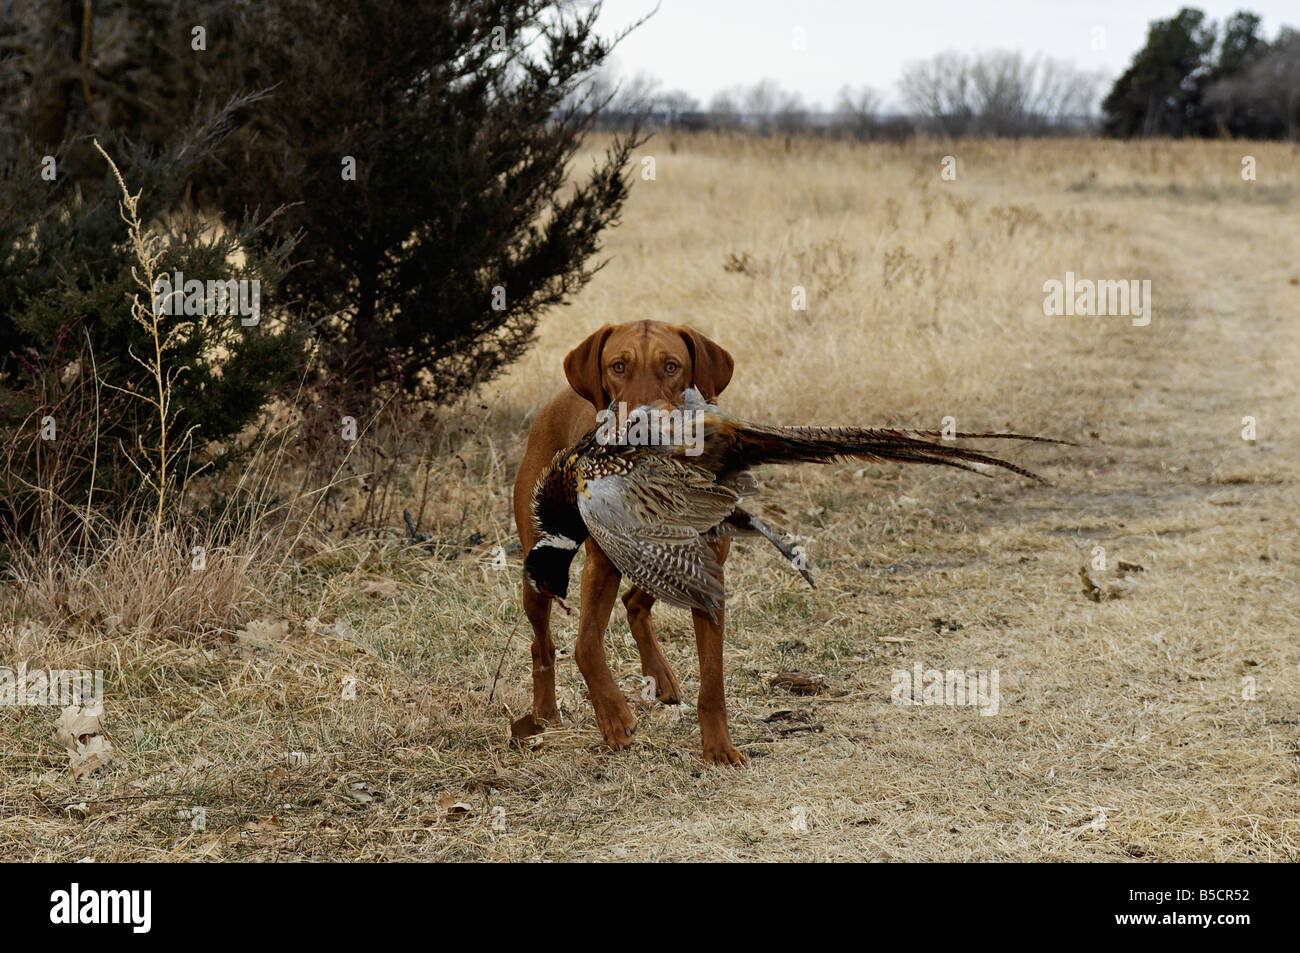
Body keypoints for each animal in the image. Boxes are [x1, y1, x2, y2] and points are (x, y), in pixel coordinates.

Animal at [512, 323, 748, 764]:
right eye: (617, 366)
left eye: (671, 366)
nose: (642, 422)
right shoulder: (601, 565)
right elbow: (587, 645)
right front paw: (613, 717)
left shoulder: (707, 572)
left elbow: (713, 678)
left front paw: (719, 747)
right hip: (539, 569)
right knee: (542, 645)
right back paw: (545, 713)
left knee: (635, 602)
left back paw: (660, 676)